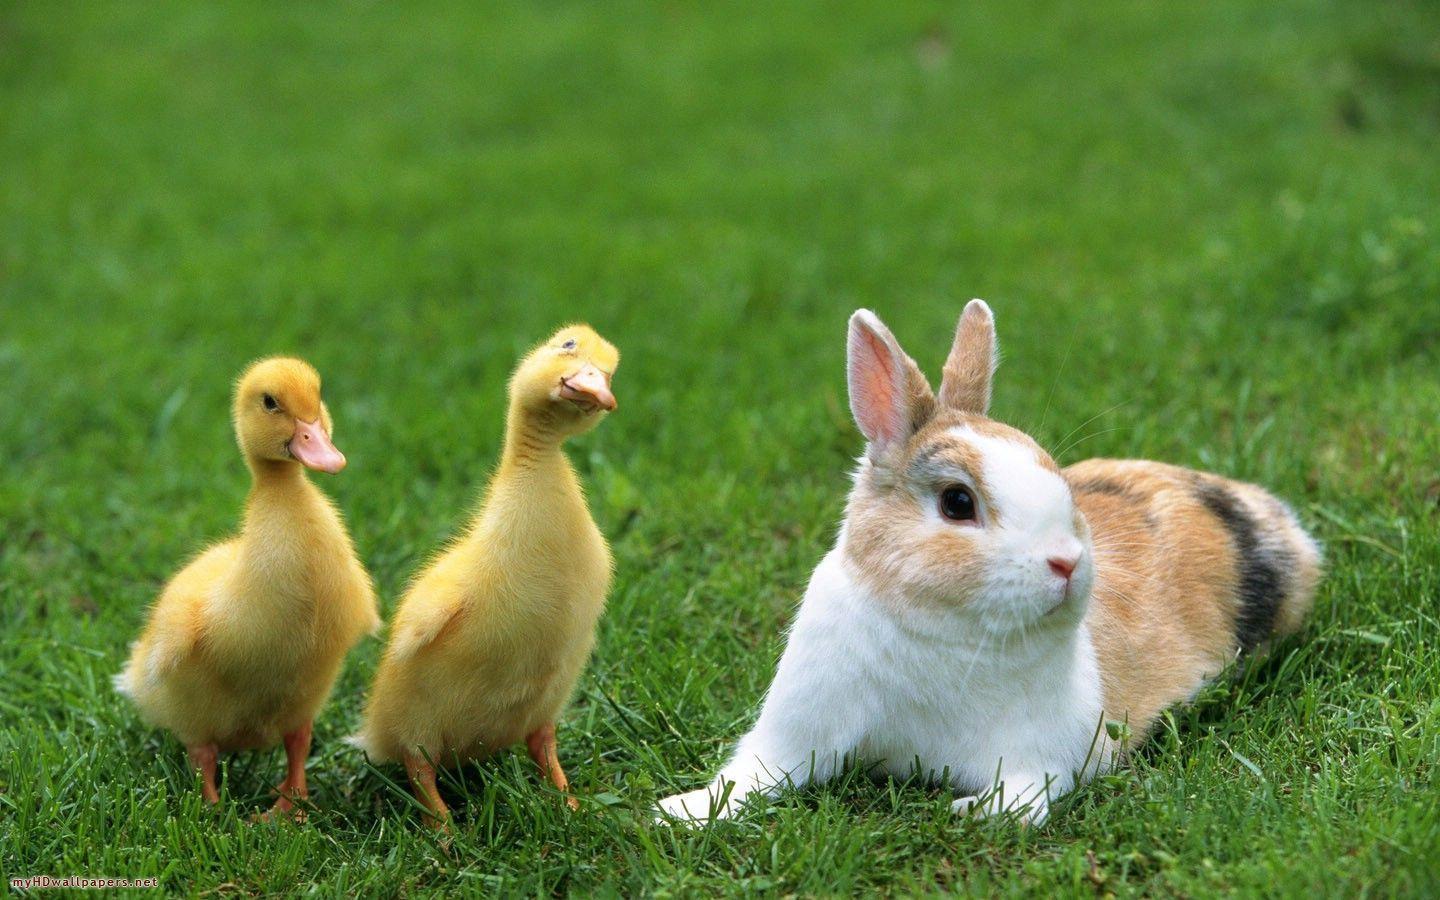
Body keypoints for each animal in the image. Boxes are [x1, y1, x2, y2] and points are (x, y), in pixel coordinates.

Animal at [657, 300, 1321, 825]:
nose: (1068, 563)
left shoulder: (1047, 752)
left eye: (1055, 473)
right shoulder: (797, 729)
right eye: (957, 502)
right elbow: (754, 773)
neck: (939, 632)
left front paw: (972, 811)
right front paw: (678, 813)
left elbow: (1026, 794)